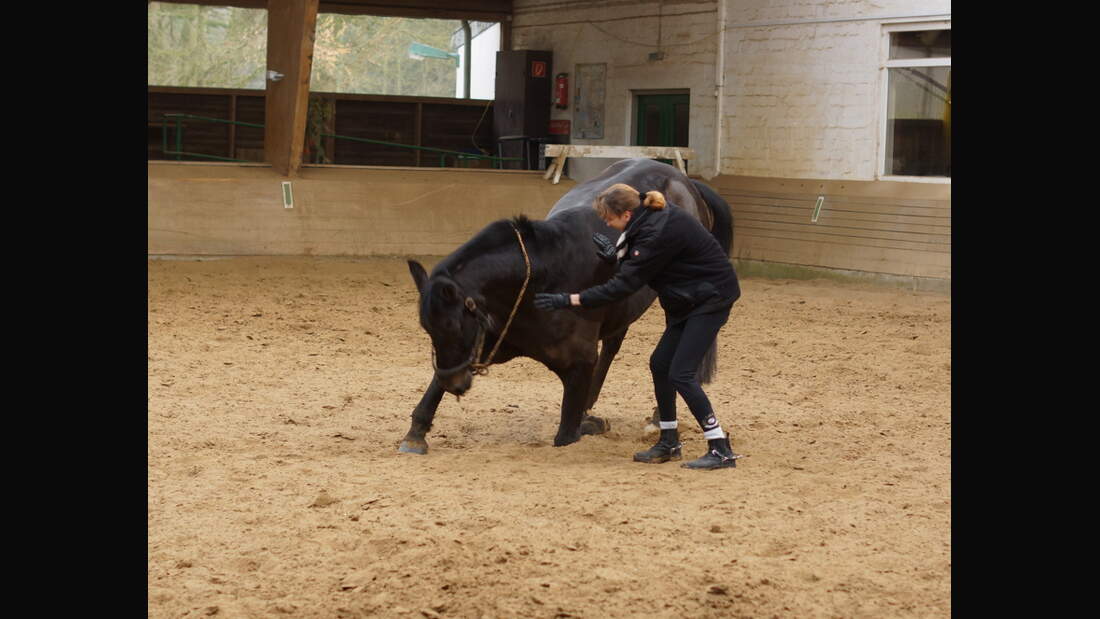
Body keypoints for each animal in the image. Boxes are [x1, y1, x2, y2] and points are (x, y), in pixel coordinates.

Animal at [402, 158, 730, 455]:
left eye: (454, 325)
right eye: (427, 328)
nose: (455, 383)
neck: (540, 277)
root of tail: (683, 180)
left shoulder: (577, 366)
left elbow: (566, 435)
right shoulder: (491, 341)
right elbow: (434, 385)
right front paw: (416, 432)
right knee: (613, 344)